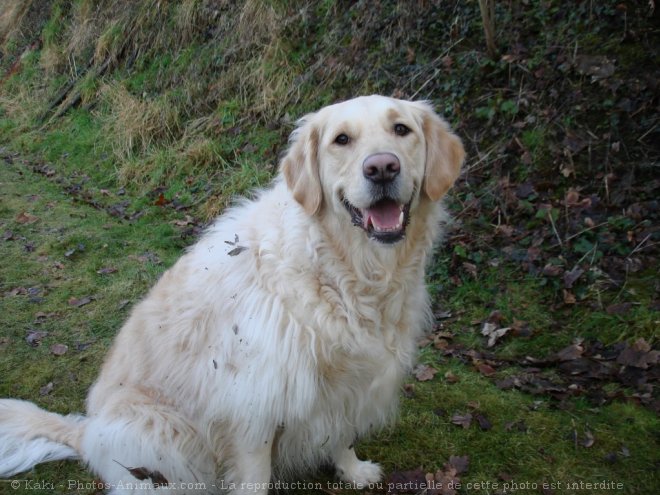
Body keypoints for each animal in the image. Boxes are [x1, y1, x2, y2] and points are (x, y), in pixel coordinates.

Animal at [0, 95, 464, 494]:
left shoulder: (352, 385)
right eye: (342, 140)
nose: (382, 168)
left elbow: (342, 435)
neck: (346, 271)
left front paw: (352, 470)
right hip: (160, 433)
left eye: (401, 129)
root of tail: (86, 431)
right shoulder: (253, 405)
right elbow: (255, 477)